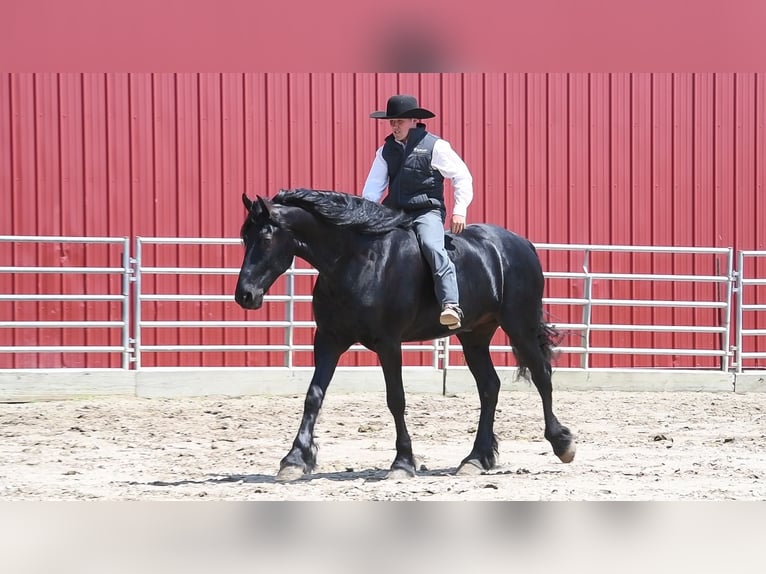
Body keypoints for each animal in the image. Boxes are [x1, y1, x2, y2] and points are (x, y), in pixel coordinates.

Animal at [234, 189, 576, 482]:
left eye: (266, 237)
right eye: (244, 236)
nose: (245, 295)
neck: (358, 259)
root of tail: (521, 244)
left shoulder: (388, 344)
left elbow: (396, 399)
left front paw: (402, 463)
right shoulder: (329, 340)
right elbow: (313, 396)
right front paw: (294, 459)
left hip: (519, 326)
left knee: (542, 375)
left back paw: (562, 444)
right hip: (474, 336)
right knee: (489, 387)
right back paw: (476, 459)